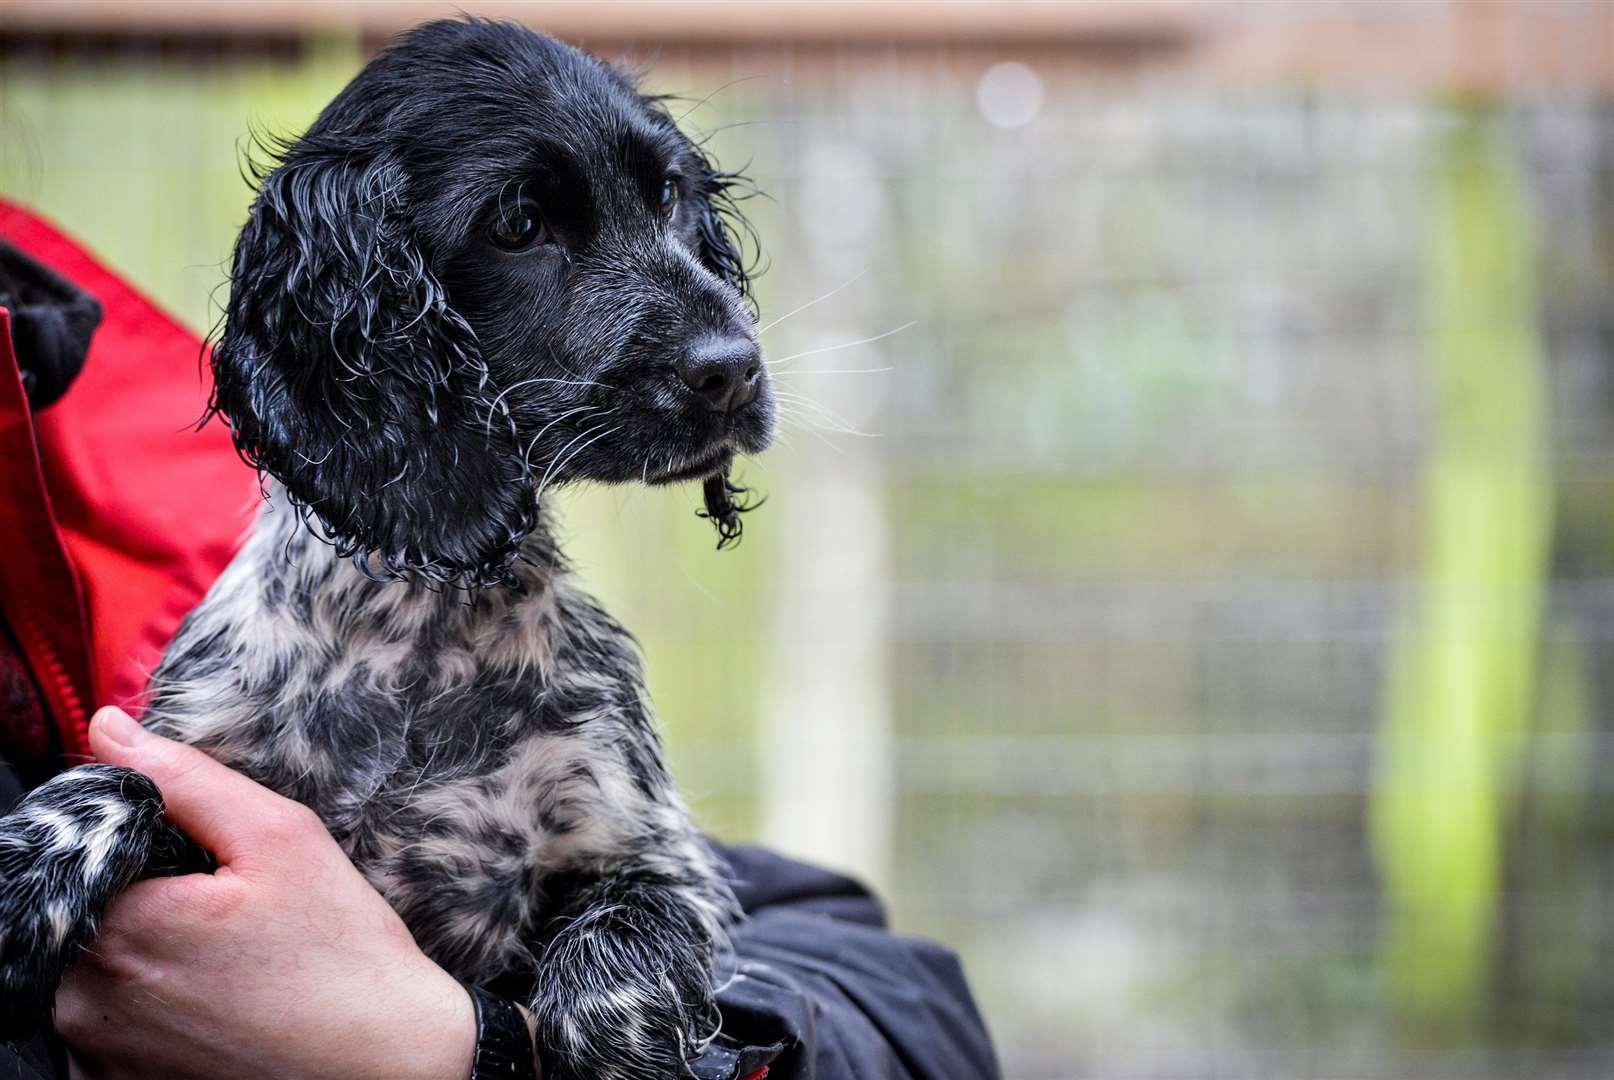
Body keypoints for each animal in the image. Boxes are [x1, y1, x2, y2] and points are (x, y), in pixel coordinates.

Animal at [0, 18, 774, 1078]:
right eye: (519, 225)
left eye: (666, 196)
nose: (736, 369)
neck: (420, 628)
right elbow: (132, 778)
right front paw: (30, 863)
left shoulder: (653, 850)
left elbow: (618, 957)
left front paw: (622, 1041)